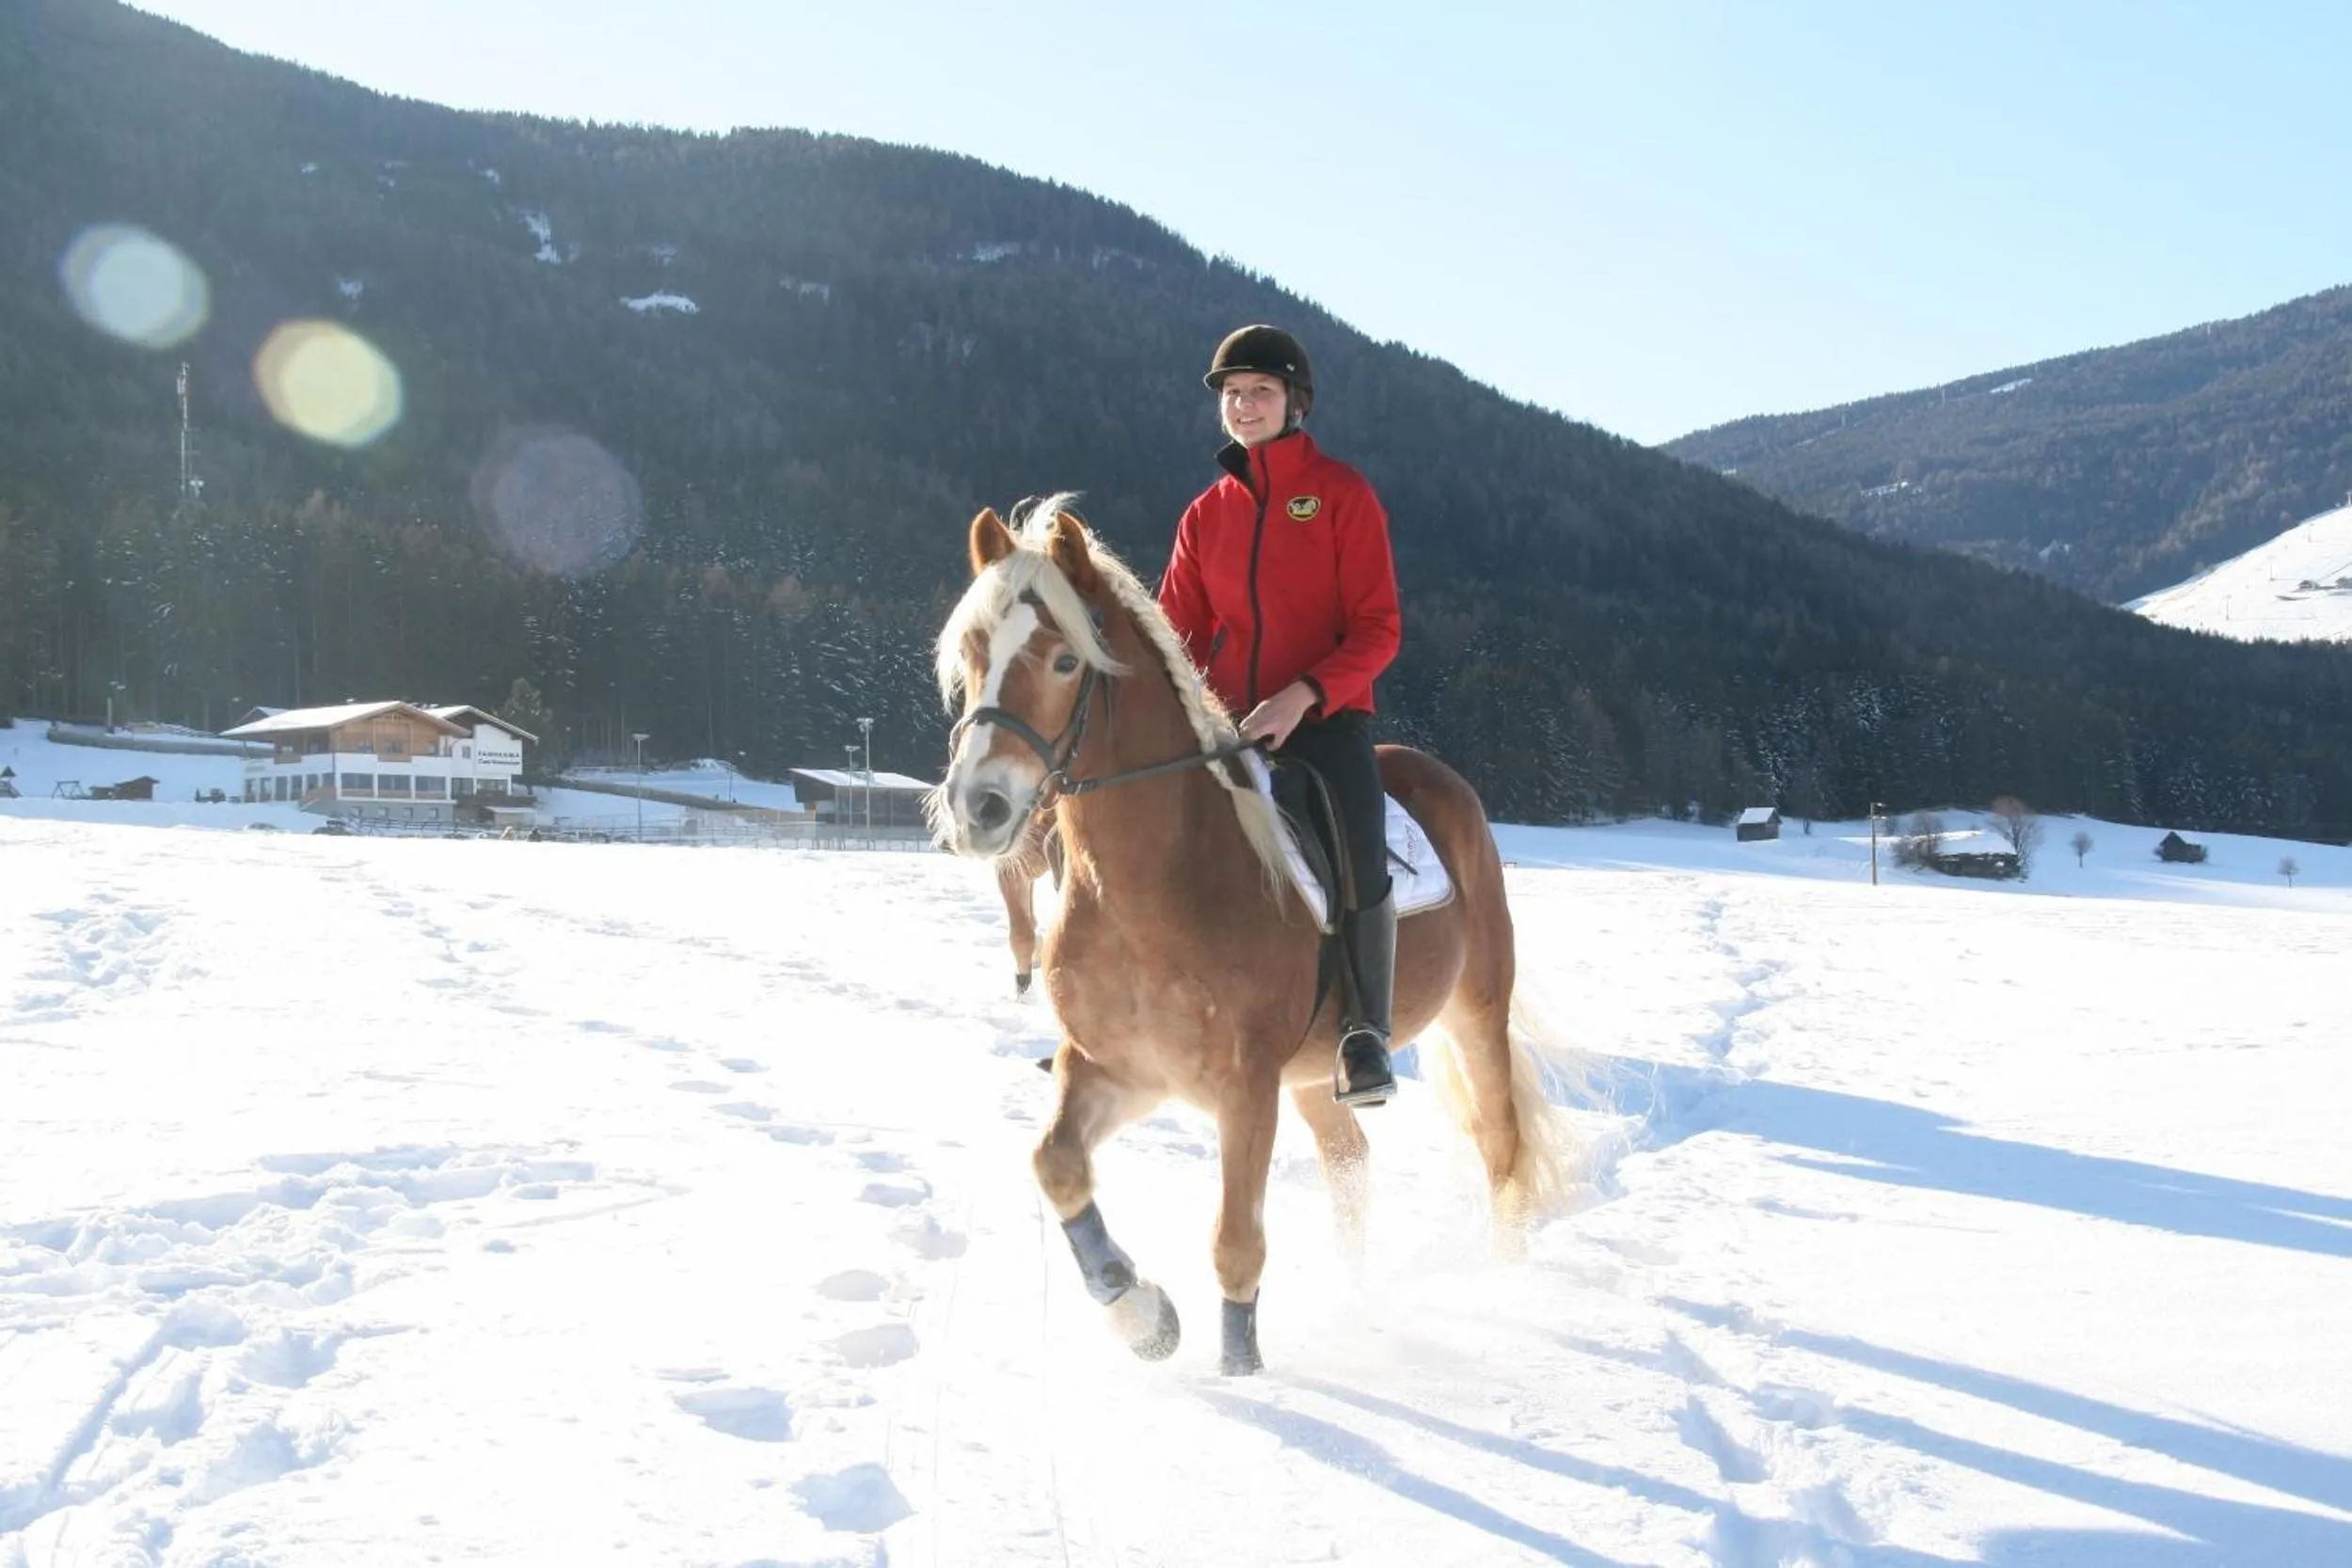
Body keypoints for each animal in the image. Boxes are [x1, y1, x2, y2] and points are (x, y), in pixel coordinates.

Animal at [930, 497, 1569, 1375]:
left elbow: (1235, 1241)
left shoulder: (1245, 1085)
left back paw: (1501, 1285)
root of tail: (1447, 782)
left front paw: (1241, 1368)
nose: (979, 807)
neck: (1152, 886)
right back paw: (1355, 1297)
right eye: (971, 654)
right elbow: (1055, 1165)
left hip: (1475, 1012)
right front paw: (1141, 1313)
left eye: (1063, 660)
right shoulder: (1119, 1068)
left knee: (1502, 1151)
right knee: (1350, 1164)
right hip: (1317, 1076)